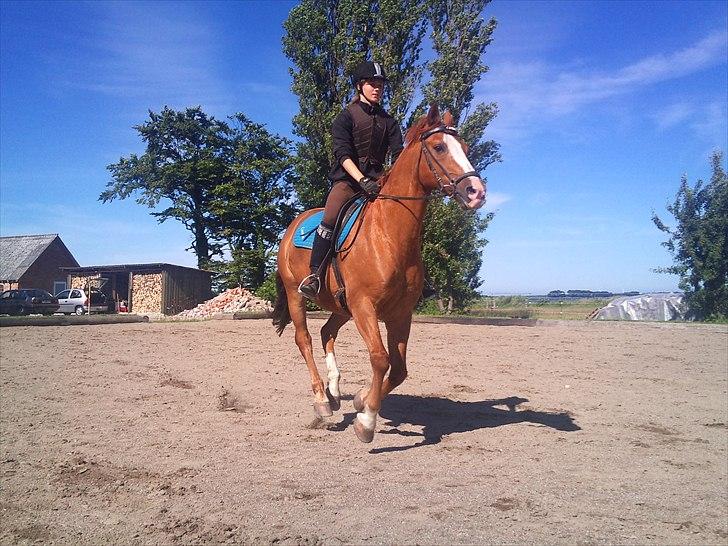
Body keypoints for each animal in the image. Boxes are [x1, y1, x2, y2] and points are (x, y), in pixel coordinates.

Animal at [270, 104, 486, 440]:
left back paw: (335, 391)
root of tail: (294, 224)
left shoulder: (400, 313)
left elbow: (399, 369)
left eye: (464, 148)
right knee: (304, 339)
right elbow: (380, 358)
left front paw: (361, 400)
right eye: (439, 147)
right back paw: (321, 400)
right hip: (298, 295)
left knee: (326, 332)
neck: (387, 235)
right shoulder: (365, 307)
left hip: (341, 306)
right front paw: (367, 420)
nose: (476, 192)